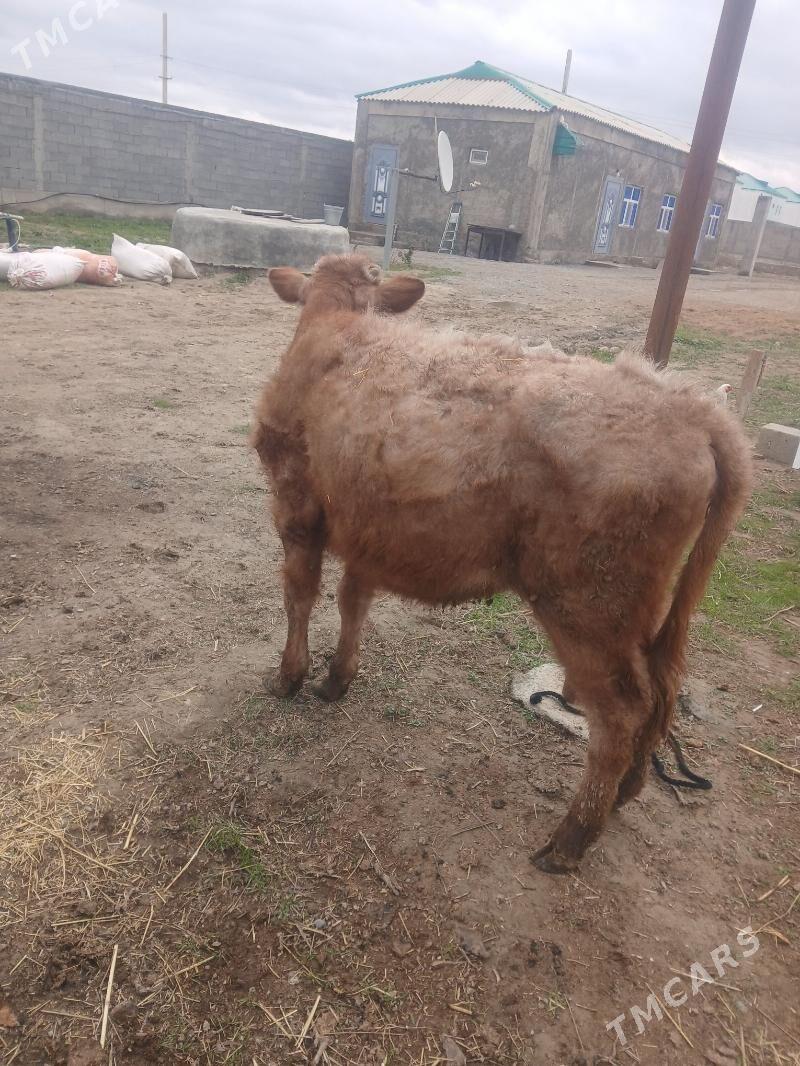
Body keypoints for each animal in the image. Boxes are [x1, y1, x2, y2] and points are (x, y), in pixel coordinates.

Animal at [253, 253, 752, 873]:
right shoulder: (369, 526)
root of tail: (693, 407)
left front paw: (289, 677)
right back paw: (625, 794)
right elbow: (353, 602)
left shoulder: (295, 506)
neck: (336, 326)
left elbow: (299, 593)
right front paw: (336, 678)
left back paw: (570, 839)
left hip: (586, 603)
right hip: (644, 611)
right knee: (661, 692)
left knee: (624, 711)